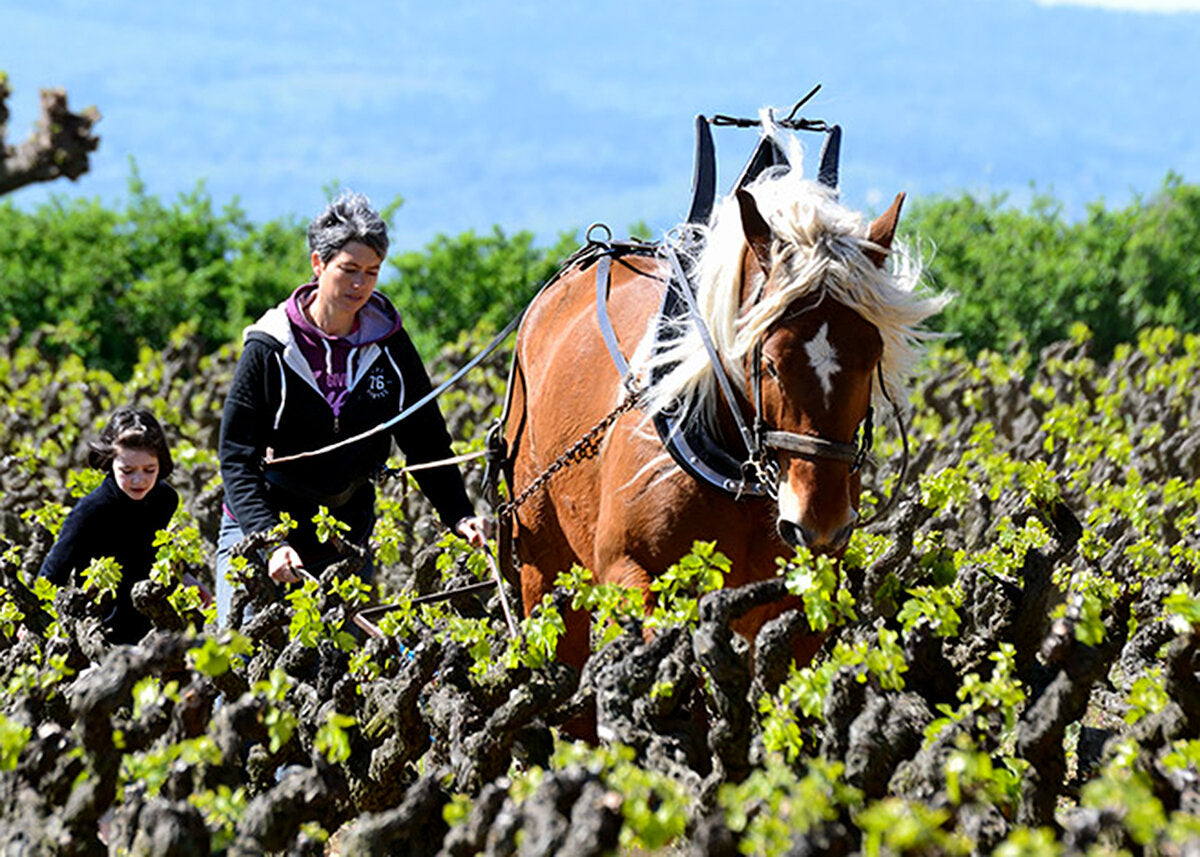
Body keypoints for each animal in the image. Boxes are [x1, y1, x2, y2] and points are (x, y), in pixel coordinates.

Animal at [496, 115, 945, 672]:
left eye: (872, 355)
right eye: (768, 360)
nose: (818, 526)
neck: (738, 466)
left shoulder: (798, 606)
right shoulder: (634, 576)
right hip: (543, 564)